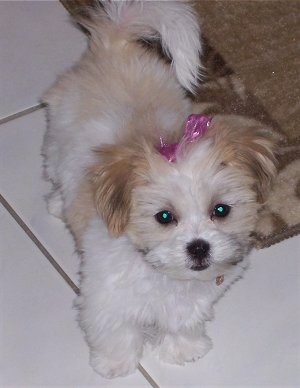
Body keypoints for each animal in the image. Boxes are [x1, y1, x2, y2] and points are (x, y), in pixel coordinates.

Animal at [41, 0, 276, 378]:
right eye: (164, 217)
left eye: (221, 210)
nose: (199, 247)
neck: (164, 275)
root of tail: (115, 44)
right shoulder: (105, 294)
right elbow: (115, 328)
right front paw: (115, 362)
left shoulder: (193, 299)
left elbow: (183, 320)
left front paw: (183, 349)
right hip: (56, 137)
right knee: (55, 170)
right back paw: (56, 203)